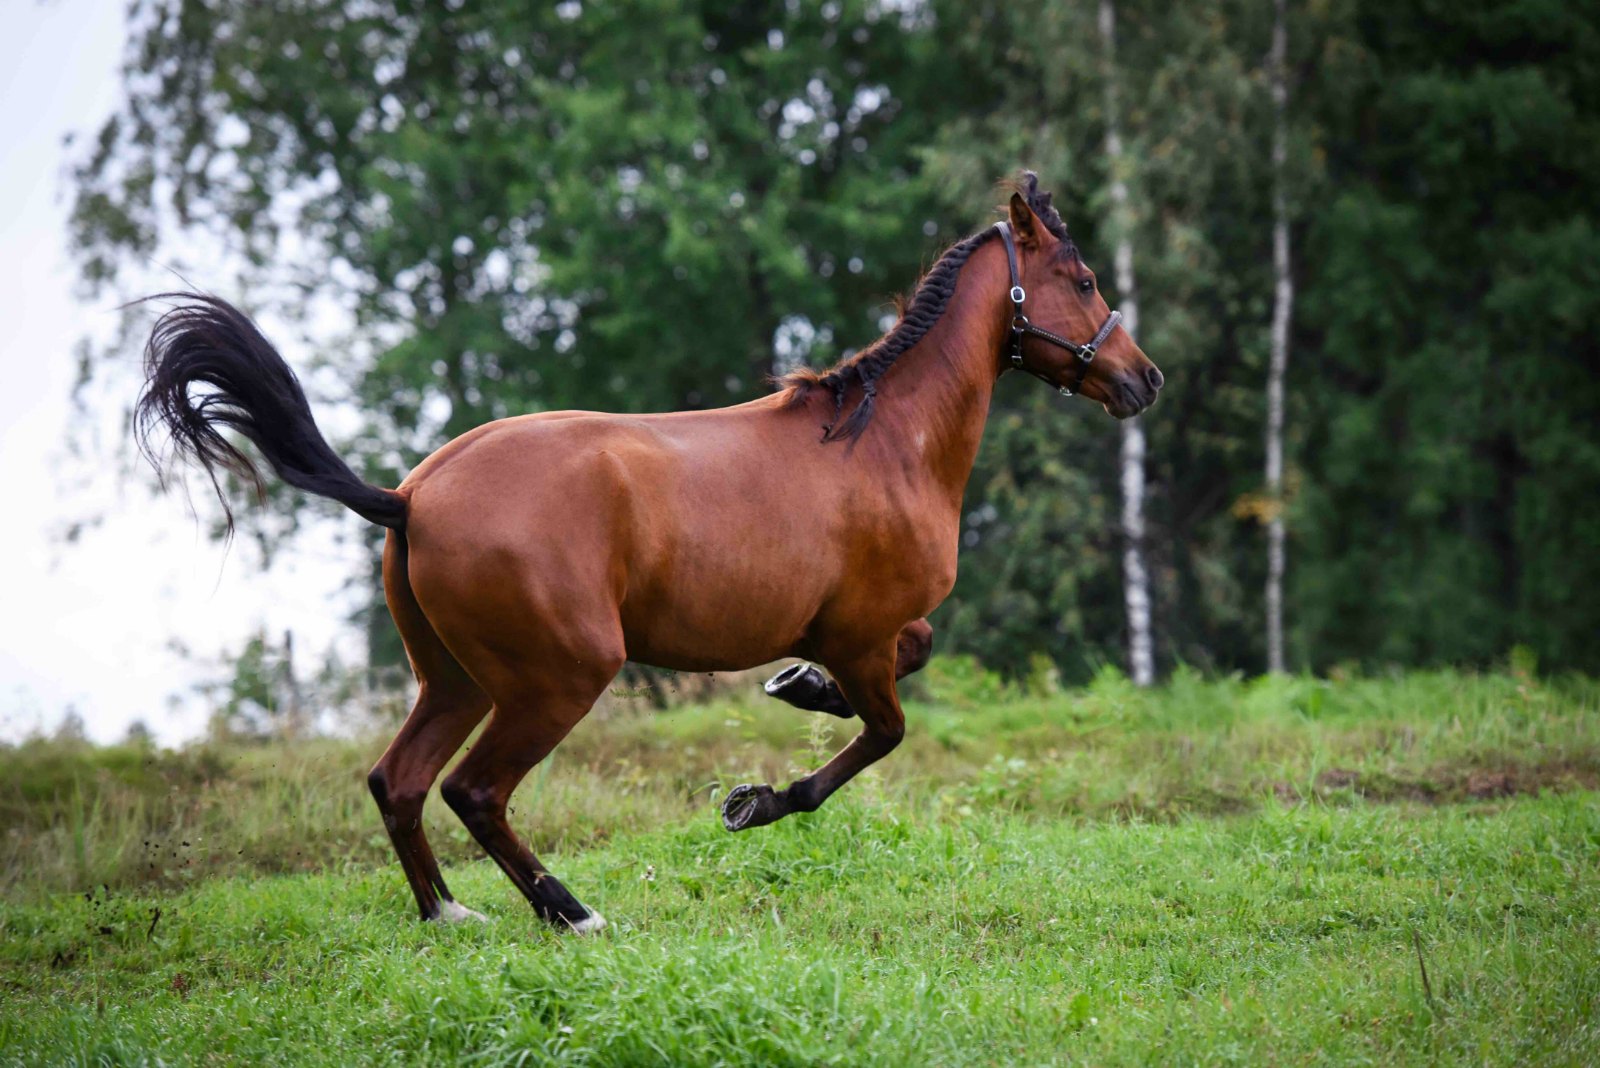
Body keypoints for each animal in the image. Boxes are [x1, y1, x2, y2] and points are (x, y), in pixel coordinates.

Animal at [137, 171, 1164, 927]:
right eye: (1084, 281)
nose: (1144, 379)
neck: (884, 442)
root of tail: (412, 496)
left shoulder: (864, 633)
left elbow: (911, 657)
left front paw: (796, 688)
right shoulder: (862, 633)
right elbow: (885, 731)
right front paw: (755, 800)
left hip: (454, 679)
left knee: (399, 782)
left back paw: (449, 915)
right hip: (558, 678)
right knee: (474, 790)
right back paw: (571, 913)